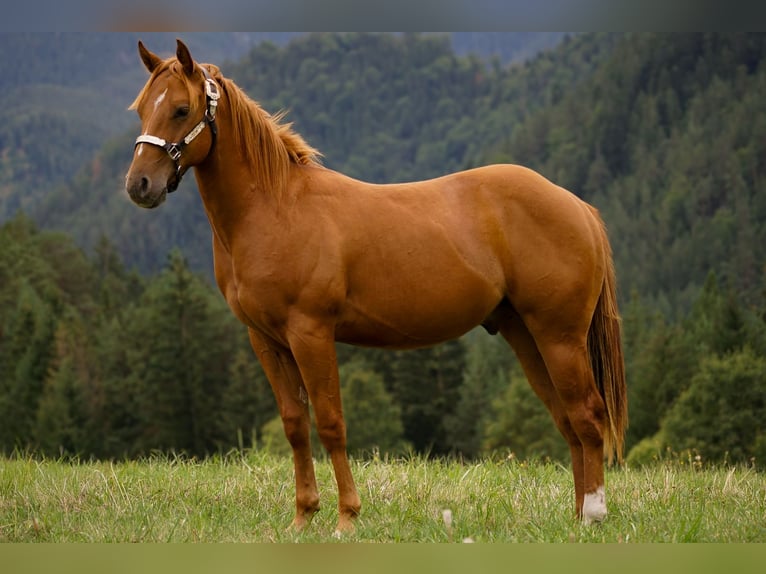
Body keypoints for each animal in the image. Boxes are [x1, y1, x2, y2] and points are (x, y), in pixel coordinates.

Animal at [125, 39, 627, 534]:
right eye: (141, 109)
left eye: (181, 109)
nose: (139, 185)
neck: (276, 207)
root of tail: (578, 207)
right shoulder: (266, 340)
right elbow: (294, 425)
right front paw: (303, 517)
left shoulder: (310, 333)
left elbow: (331, 423)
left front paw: (347, 518)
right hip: (526, 335)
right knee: (567, 418)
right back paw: (578, 517)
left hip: (559, 336)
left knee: (588, 413)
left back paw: (594, 515)